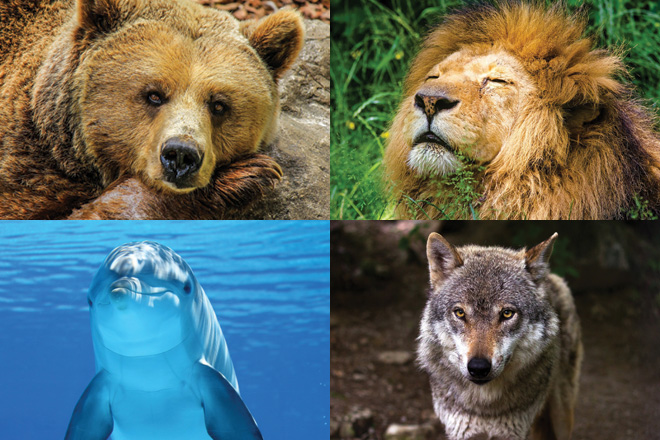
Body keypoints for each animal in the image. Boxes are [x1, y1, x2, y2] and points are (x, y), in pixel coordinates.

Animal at [417, 233, 582, 440]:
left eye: (507, 314)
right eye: (460, 313)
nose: (478, 367)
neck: (486, 408)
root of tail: (551, 277)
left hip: (561, 416)